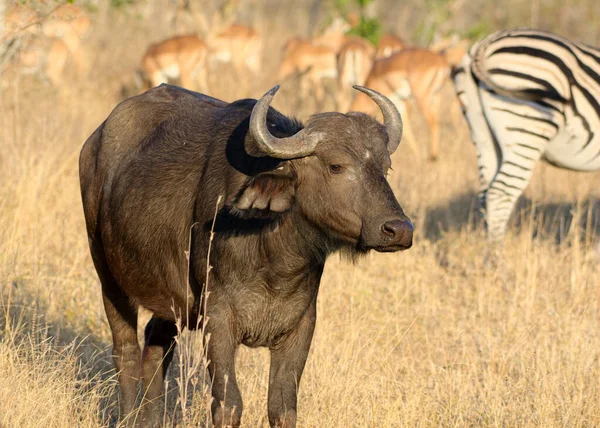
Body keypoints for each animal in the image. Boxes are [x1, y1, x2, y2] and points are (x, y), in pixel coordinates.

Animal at [78, 84, 412, 428]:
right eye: (336, 166)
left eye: (385, 167)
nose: (399, 229)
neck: (275, 263)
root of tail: (96, 140)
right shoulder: (217, 322)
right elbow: (229, 405)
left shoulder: (301, 327)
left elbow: (282, 408)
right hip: (108, 277)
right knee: (126, 350)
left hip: (171, 299)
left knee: (157, 347)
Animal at [450, 27, 600, 241]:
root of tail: (483, 45)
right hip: (528, 126)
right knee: (500, 194)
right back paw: (497, 252)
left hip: (482, 132)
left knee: (485, 194)